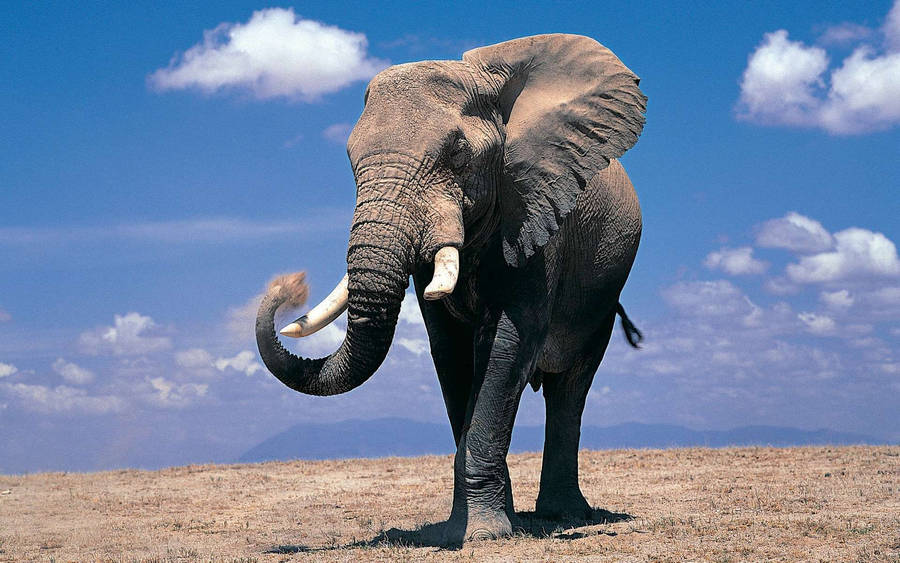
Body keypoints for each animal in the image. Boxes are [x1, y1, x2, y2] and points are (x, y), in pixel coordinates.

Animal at [256, 33, 646, 542]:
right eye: (350, 160)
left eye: (459, 156)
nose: (289, 286)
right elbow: (451, 351)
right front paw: (467, 529)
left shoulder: (536, 212)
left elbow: (506, 341)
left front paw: (484, 534)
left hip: (602, 290)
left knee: (570, 387)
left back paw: (565, 516)